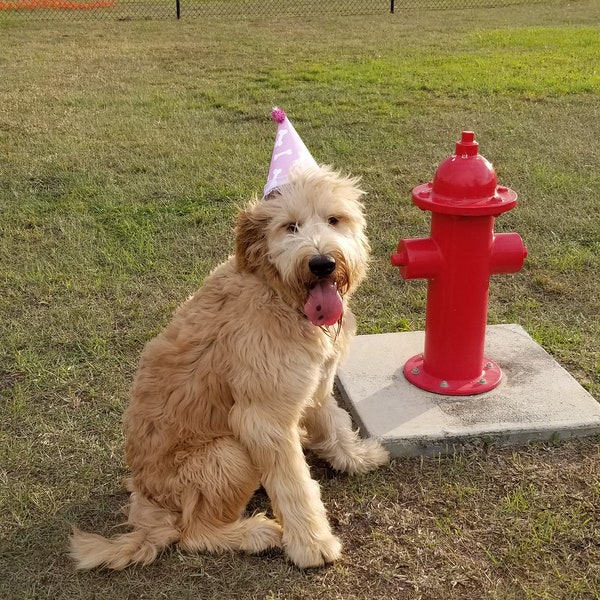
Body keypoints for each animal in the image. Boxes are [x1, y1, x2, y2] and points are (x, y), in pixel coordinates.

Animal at [70, 165, 390, 572]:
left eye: (335, 219)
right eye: (290, 227)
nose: (322, 263)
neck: (278, 293)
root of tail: (148, 500)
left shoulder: (315, 383)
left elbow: (335, 423)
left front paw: (356, 458)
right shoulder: (262, 418)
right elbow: (295, 486)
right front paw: (312, 544)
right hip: (228, 456)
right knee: (193, 534)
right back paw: (255, 533)